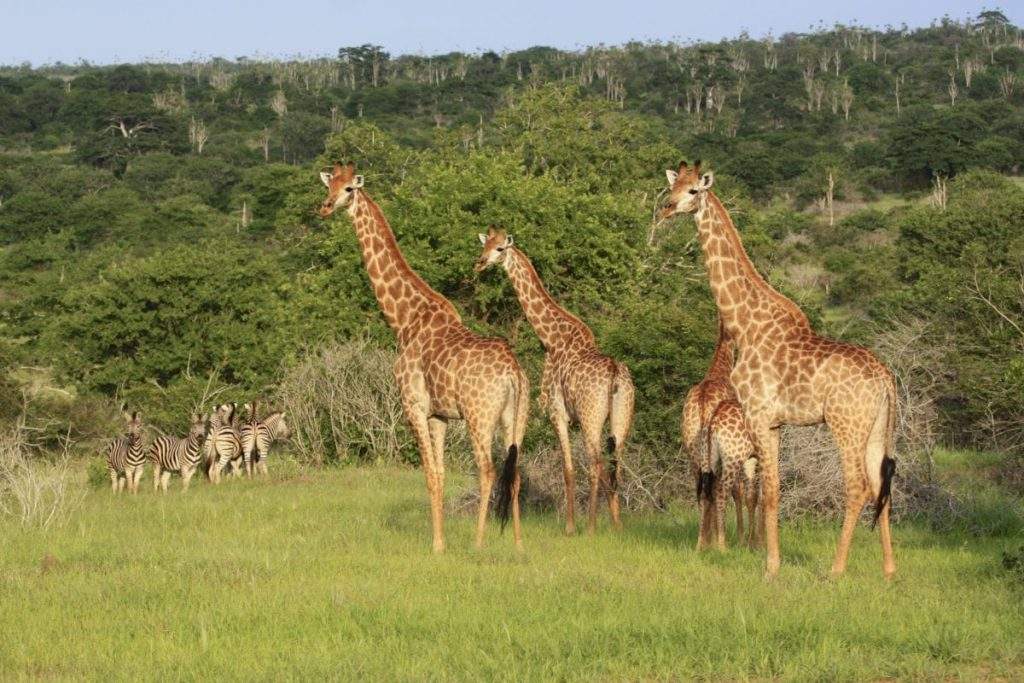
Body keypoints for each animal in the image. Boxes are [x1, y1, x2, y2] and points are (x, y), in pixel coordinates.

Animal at [317, 162, 528, 552]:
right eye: (329, 184)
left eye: (349, 188)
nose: (325, 207)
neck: (404, 320)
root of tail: (513, 373)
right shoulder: (439, 415)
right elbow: (441, 473)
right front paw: (440, 539)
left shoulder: (413, 405)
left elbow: (429, 473)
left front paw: (437, 546)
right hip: (516, 417)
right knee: (515, 470)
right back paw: (518, 544)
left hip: (479, 416)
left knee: (487, 469)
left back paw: (478, 543)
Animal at [475, 227, 634, 536]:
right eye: (484, 245)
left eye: (500, 249)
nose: (480, 262)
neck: (551, 339)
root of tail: (613, 373)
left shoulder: (557, 412)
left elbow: (568, 469)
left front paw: (571, 527)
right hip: (622, 418)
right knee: (615, 464)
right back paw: (618, 525)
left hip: (591, 417)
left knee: (596, 463)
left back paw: (591, 527)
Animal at [663, 161, 897, 581]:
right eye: (672, 186)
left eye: (694, 191)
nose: (668, 207)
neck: (746, 324)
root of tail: (886, 379)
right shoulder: (775, 423)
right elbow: (772, 491)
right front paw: (769, 559)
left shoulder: (759, 415)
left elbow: (769, 491)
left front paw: (770, 566)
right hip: (876, 428)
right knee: (880, 483)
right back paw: (888, 570)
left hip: (845, 424)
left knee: (858, 485)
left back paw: (836, 570)